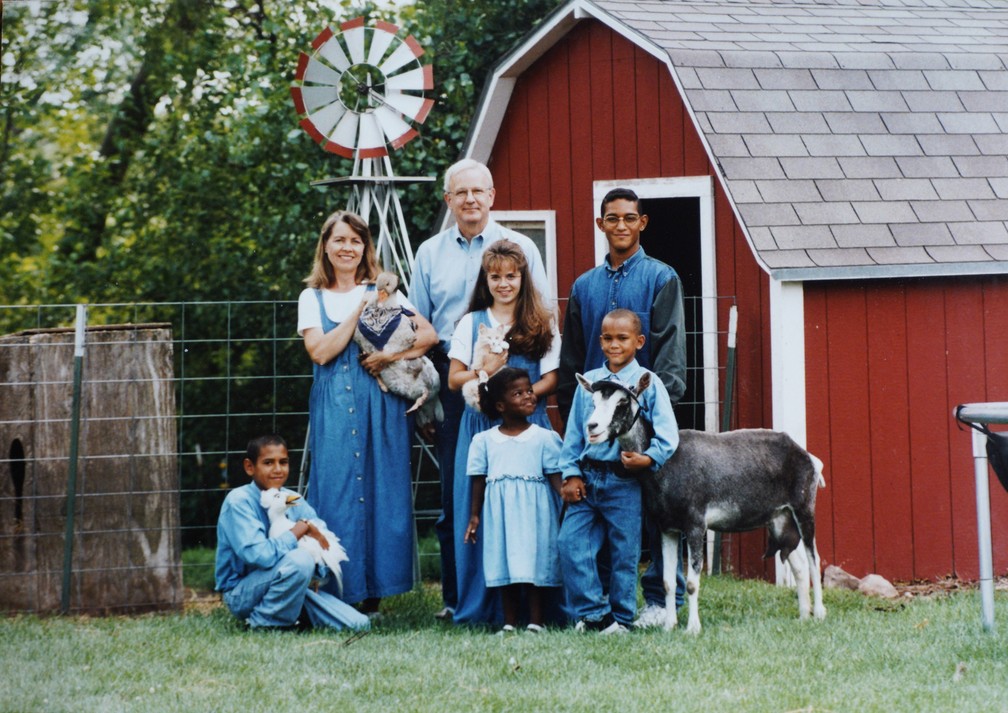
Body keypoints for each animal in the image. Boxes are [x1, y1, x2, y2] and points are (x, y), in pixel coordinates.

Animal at [580, 371, 822, 633]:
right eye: (593, 401)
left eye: (623, 402)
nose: (592, 427)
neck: (667, 462)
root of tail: (807, 456)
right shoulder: (668, 528)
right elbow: (667, 582)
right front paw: (669, 626)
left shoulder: (695, 526)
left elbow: (692, 582)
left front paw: (692, 628)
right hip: (780, 519)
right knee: (798, 564)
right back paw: (803, 616)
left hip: (803, 509)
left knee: (813, 559)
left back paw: (819, 613)